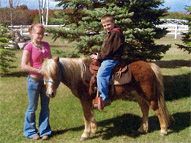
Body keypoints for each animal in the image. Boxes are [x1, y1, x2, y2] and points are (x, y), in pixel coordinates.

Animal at [41, 57, 172, 141]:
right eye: (44, 74)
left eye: (55, 73)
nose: (50, 93)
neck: (80, 75)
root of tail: (148, 65)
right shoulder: (88, 101)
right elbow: (89, 115)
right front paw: (93, 129)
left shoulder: (84, 100)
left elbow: (86, 116)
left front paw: (85, 134)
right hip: (139, 95)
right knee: (144, 109)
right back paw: (142, 128)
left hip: (150, 95)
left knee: (158, 110)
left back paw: (163, 130)